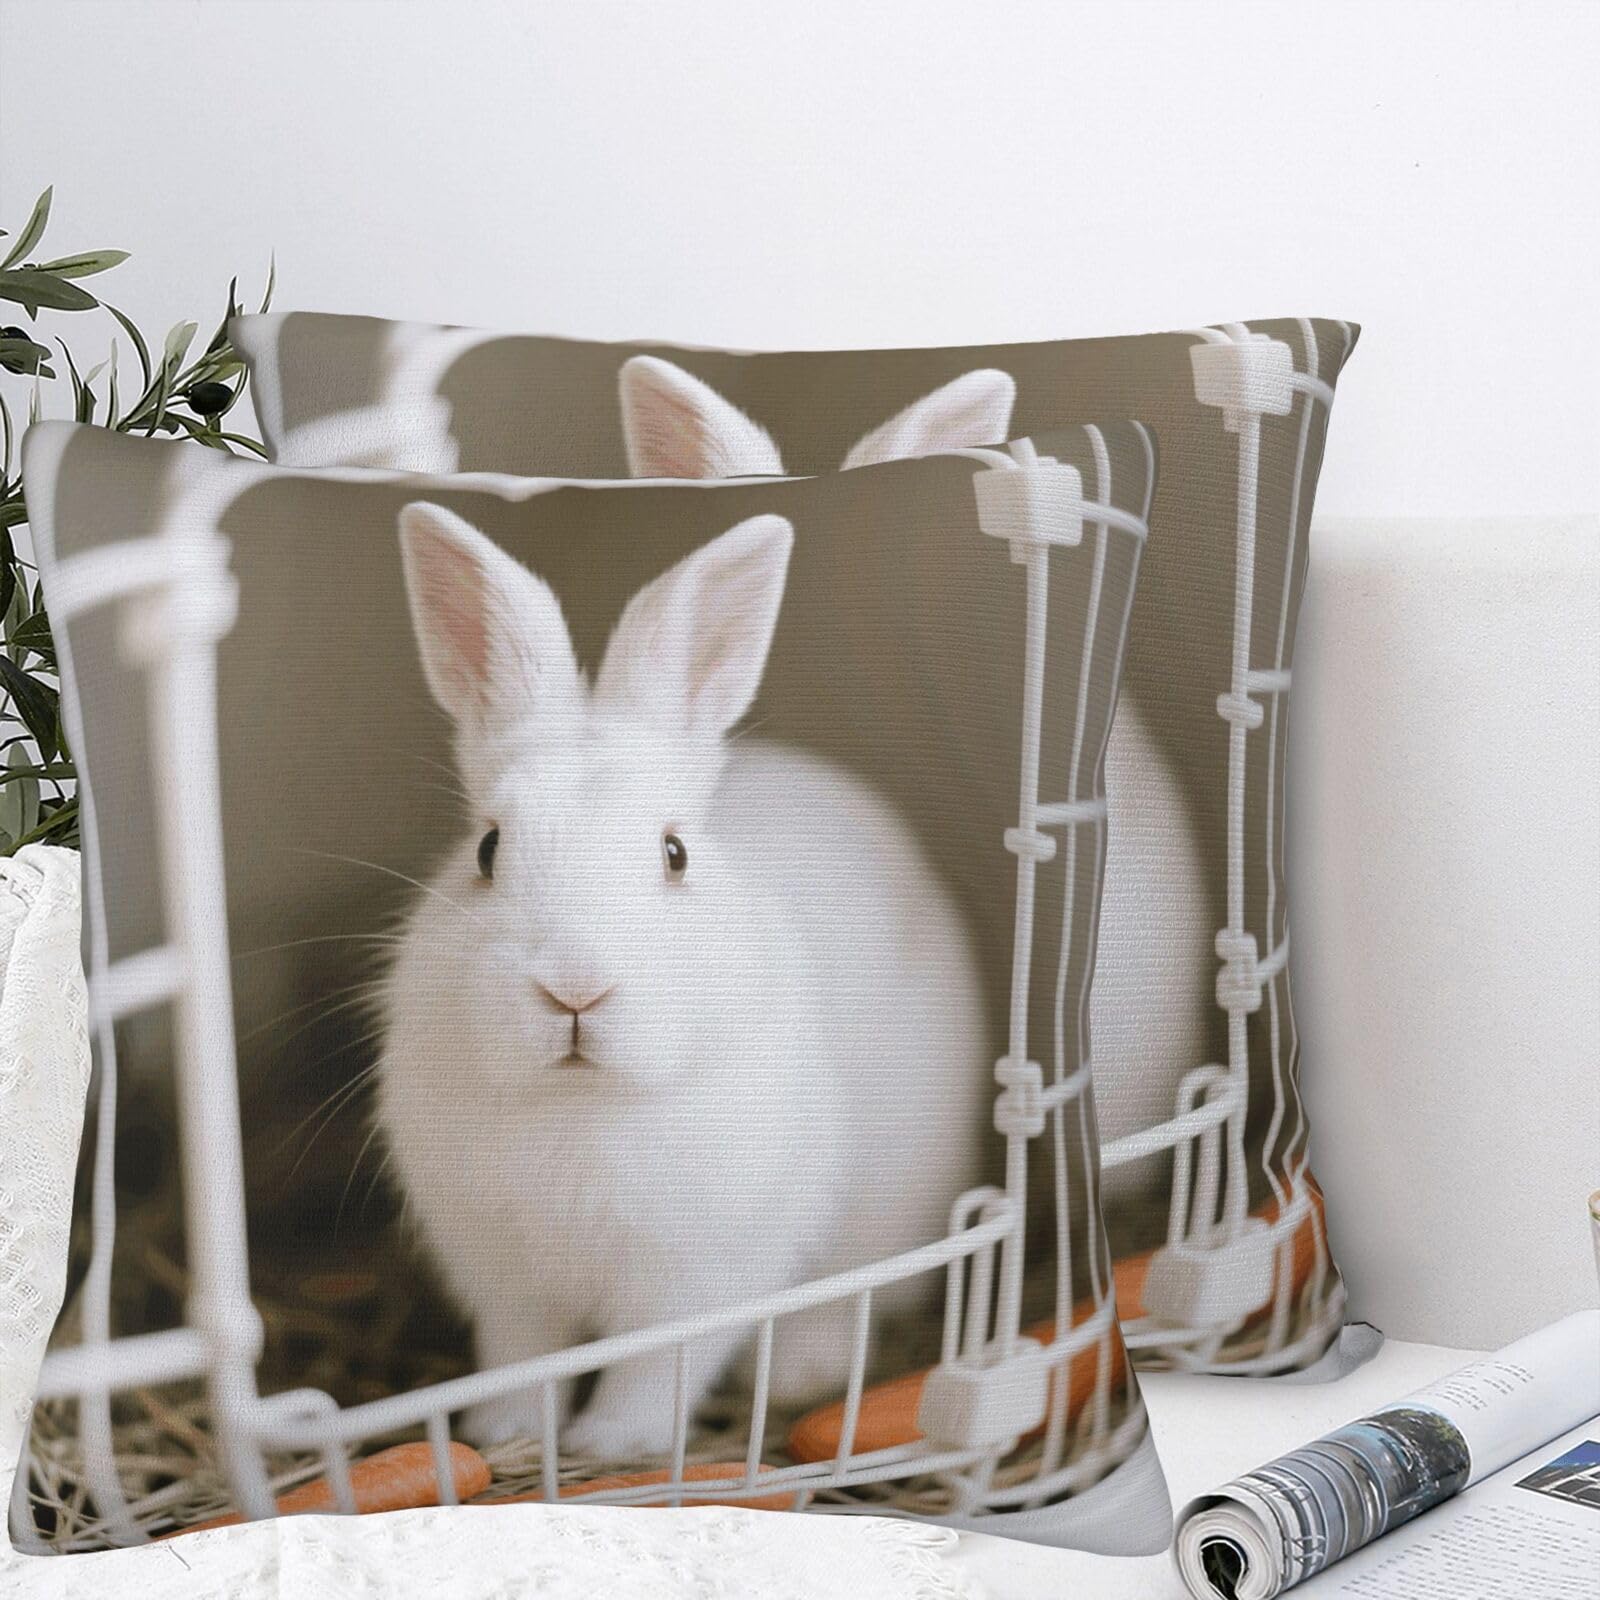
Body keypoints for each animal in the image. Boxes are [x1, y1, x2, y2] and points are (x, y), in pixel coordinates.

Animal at [376, 503, 988, 1458]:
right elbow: (523, 1357)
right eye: (486, 850)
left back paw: (805, 1372)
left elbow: (656, 1366)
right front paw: (507, 1435)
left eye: (675, 854)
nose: (575, 987)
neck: (585, 1102)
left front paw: (609, 1445)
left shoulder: (701, 1280)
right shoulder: (508, 1285)